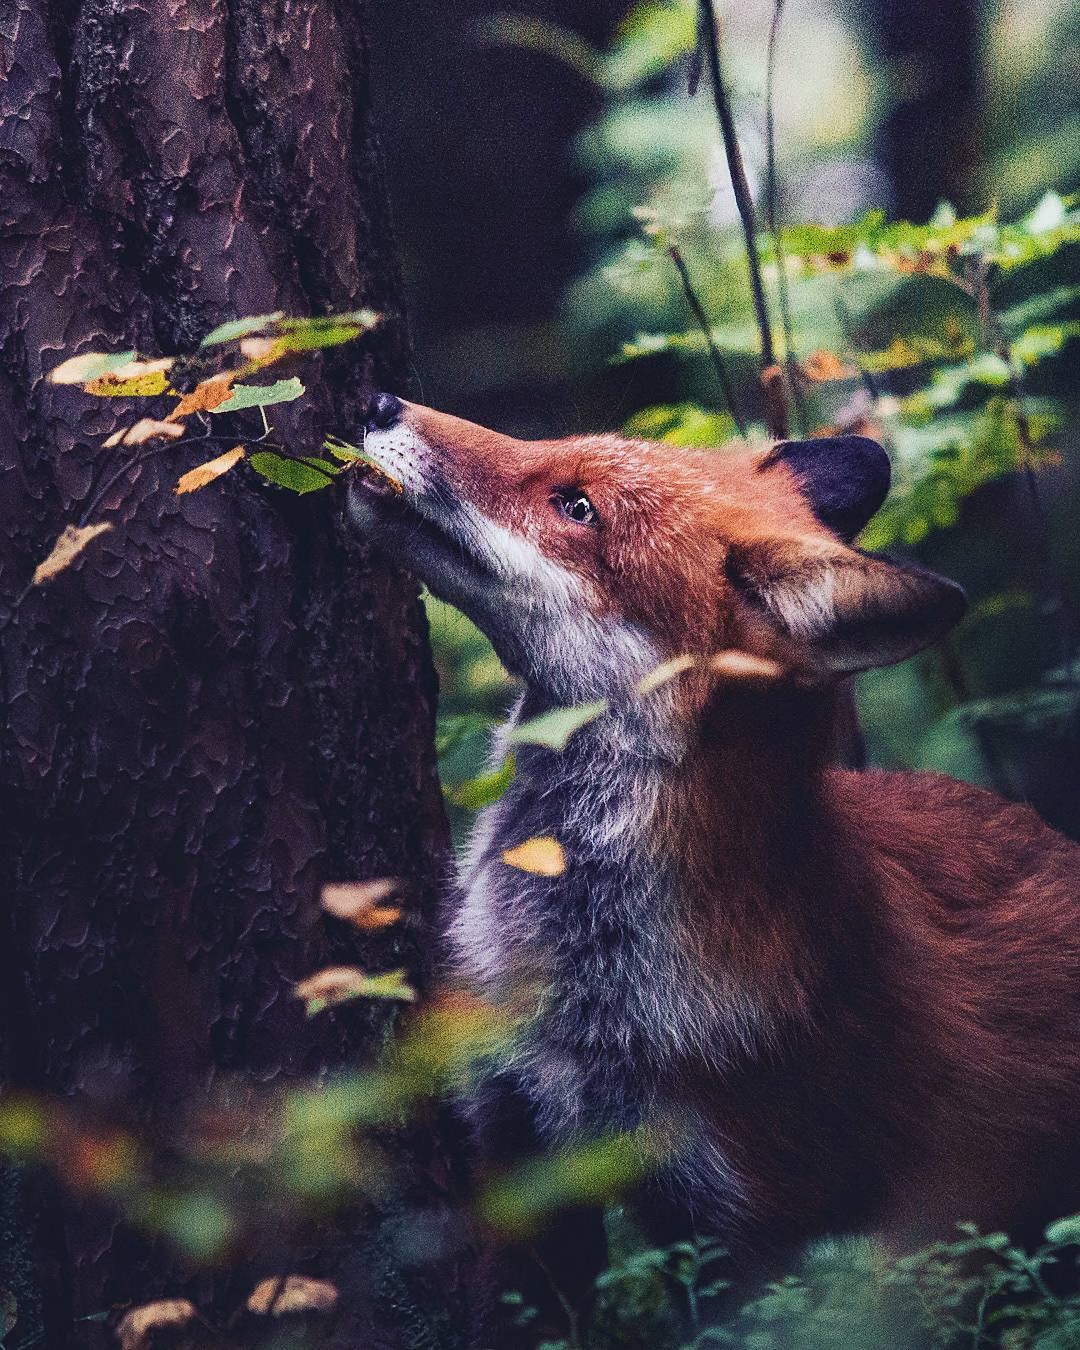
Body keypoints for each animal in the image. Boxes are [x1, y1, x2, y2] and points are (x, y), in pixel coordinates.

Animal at [345, 391, 1080, 1339]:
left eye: (577, 509)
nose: (377, 401)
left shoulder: (740, 1220)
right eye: (556, 448)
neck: (588, 996)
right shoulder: (516, 1147)